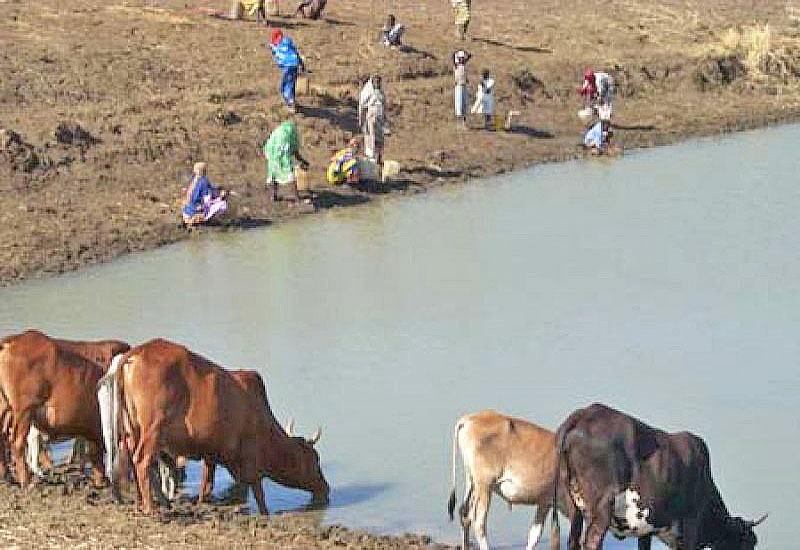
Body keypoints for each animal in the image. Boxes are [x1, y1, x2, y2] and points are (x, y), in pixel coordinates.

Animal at [450, 412, 568, 550]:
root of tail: (469, 419)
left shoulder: (545, 502)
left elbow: (535, 534)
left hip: (472, 481)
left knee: (464, 513)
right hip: (485, 485)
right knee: (478, 522)